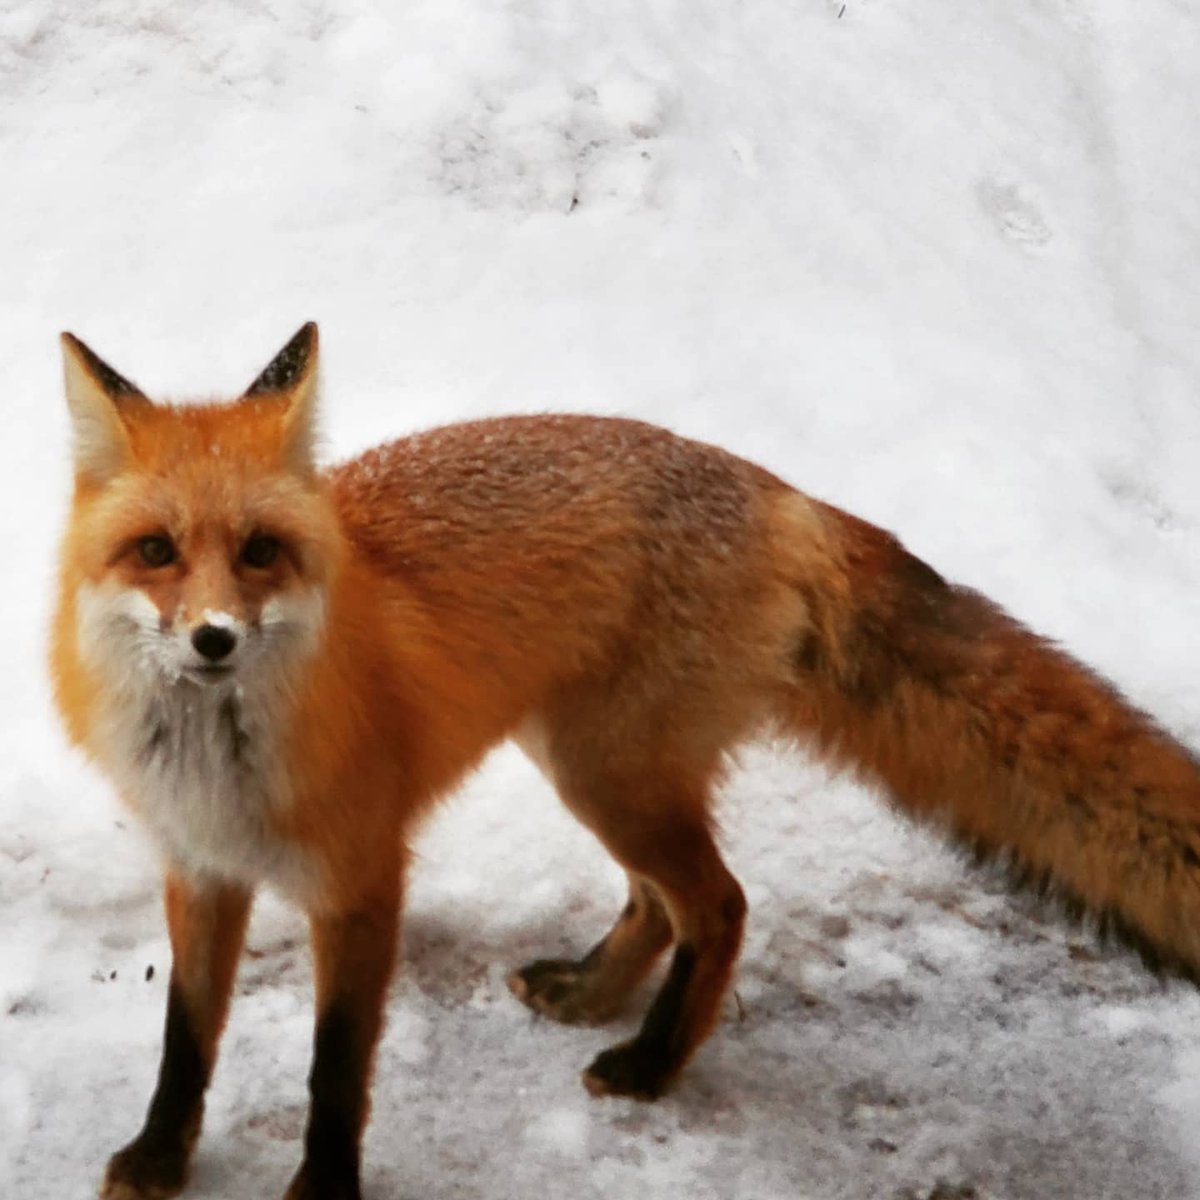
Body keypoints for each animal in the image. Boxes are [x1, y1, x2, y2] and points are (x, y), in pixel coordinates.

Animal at [51, 322, 1200, 1200]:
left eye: (260, 553)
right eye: (156, 552)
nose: (213, 641)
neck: (221, 769)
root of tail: (774, 489)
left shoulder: (362, 883)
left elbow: (336, 1069)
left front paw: (324, 1188)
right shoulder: (201, 872)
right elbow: (185, 1037)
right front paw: (158, 1158)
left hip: (607, 773)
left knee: (721, 905)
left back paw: (651, 1060)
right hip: (594, 766)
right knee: (662, 900)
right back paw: (593, 992)